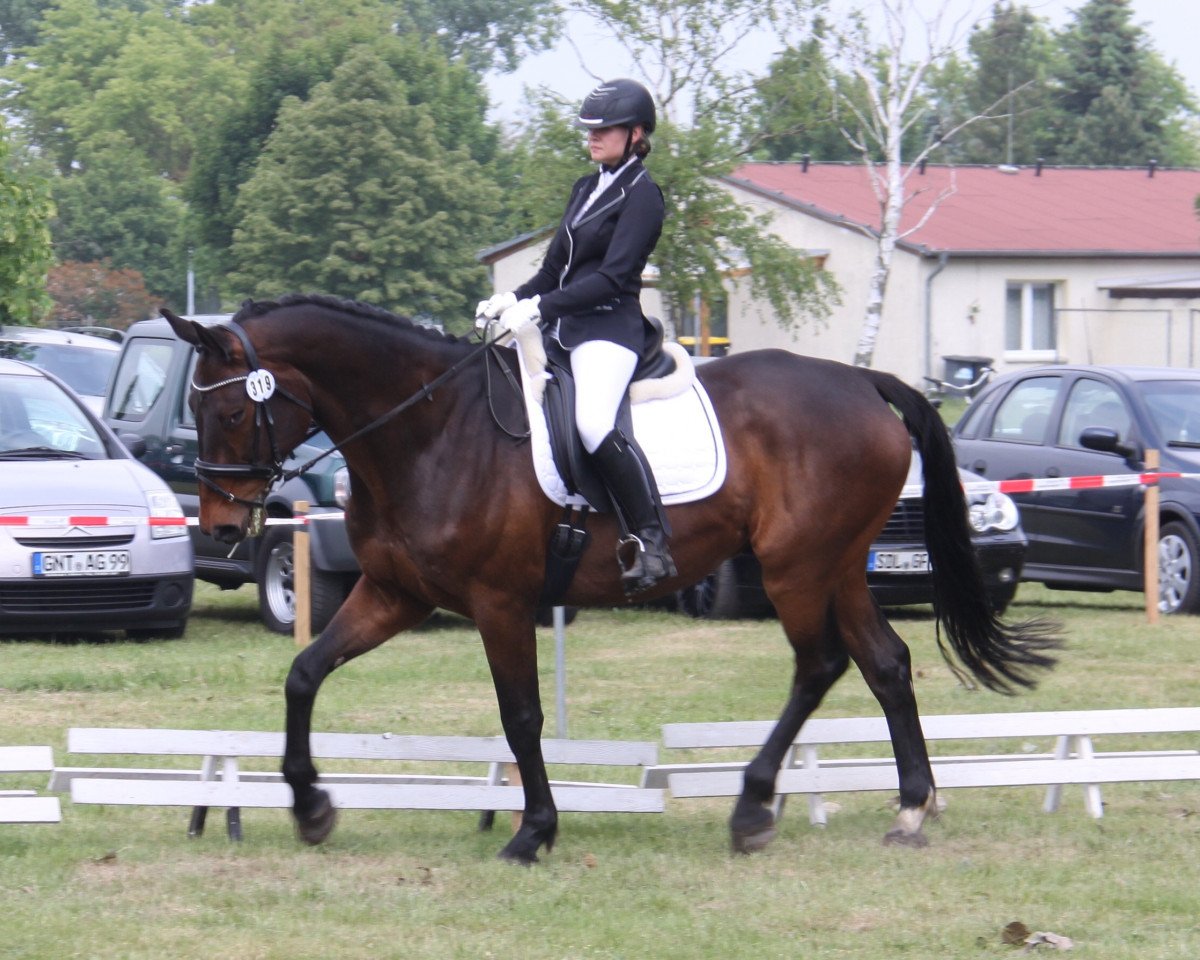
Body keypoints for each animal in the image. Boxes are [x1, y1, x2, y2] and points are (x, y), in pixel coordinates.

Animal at [164, 293, 1058, 863]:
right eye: (197, 410)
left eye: (233, 410)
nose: (219, 528)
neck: (430, 432)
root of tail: (860, 380)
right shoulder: (395, 595)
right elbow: (304, 672)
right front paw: (311, 807)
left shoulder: (501, 601)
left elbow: (522, 716)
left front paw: (533, 832)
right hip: (837, 563)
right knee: (885, 664)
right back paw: (909, 808)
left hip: (796, 567)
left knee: (820, 665)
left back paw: (752, 807)